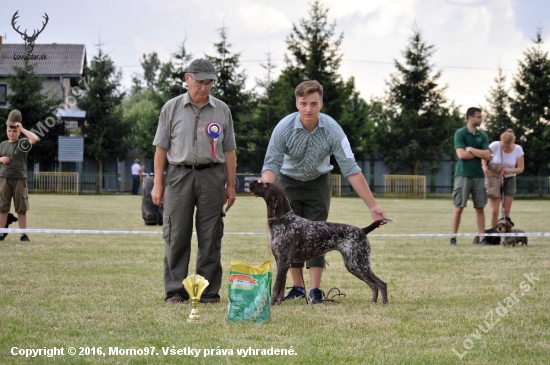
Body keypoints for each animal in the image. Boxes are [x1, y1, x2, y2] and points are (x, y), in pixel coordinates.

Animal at [250, 179, 388, 304]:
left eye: (265, 184)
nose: (251, 182)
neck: (284, 221)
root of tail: (362, 230)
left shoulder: (283, 262)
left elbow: (276, 287)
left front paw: (271, 304)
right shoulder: (281, 261)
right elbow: (281, 287)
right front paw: (278, 302)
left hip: (359, 263)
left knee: (381, 284)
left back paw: (384, 303)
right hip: (354, 265)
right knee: (373, 285)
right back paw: (373, 302)